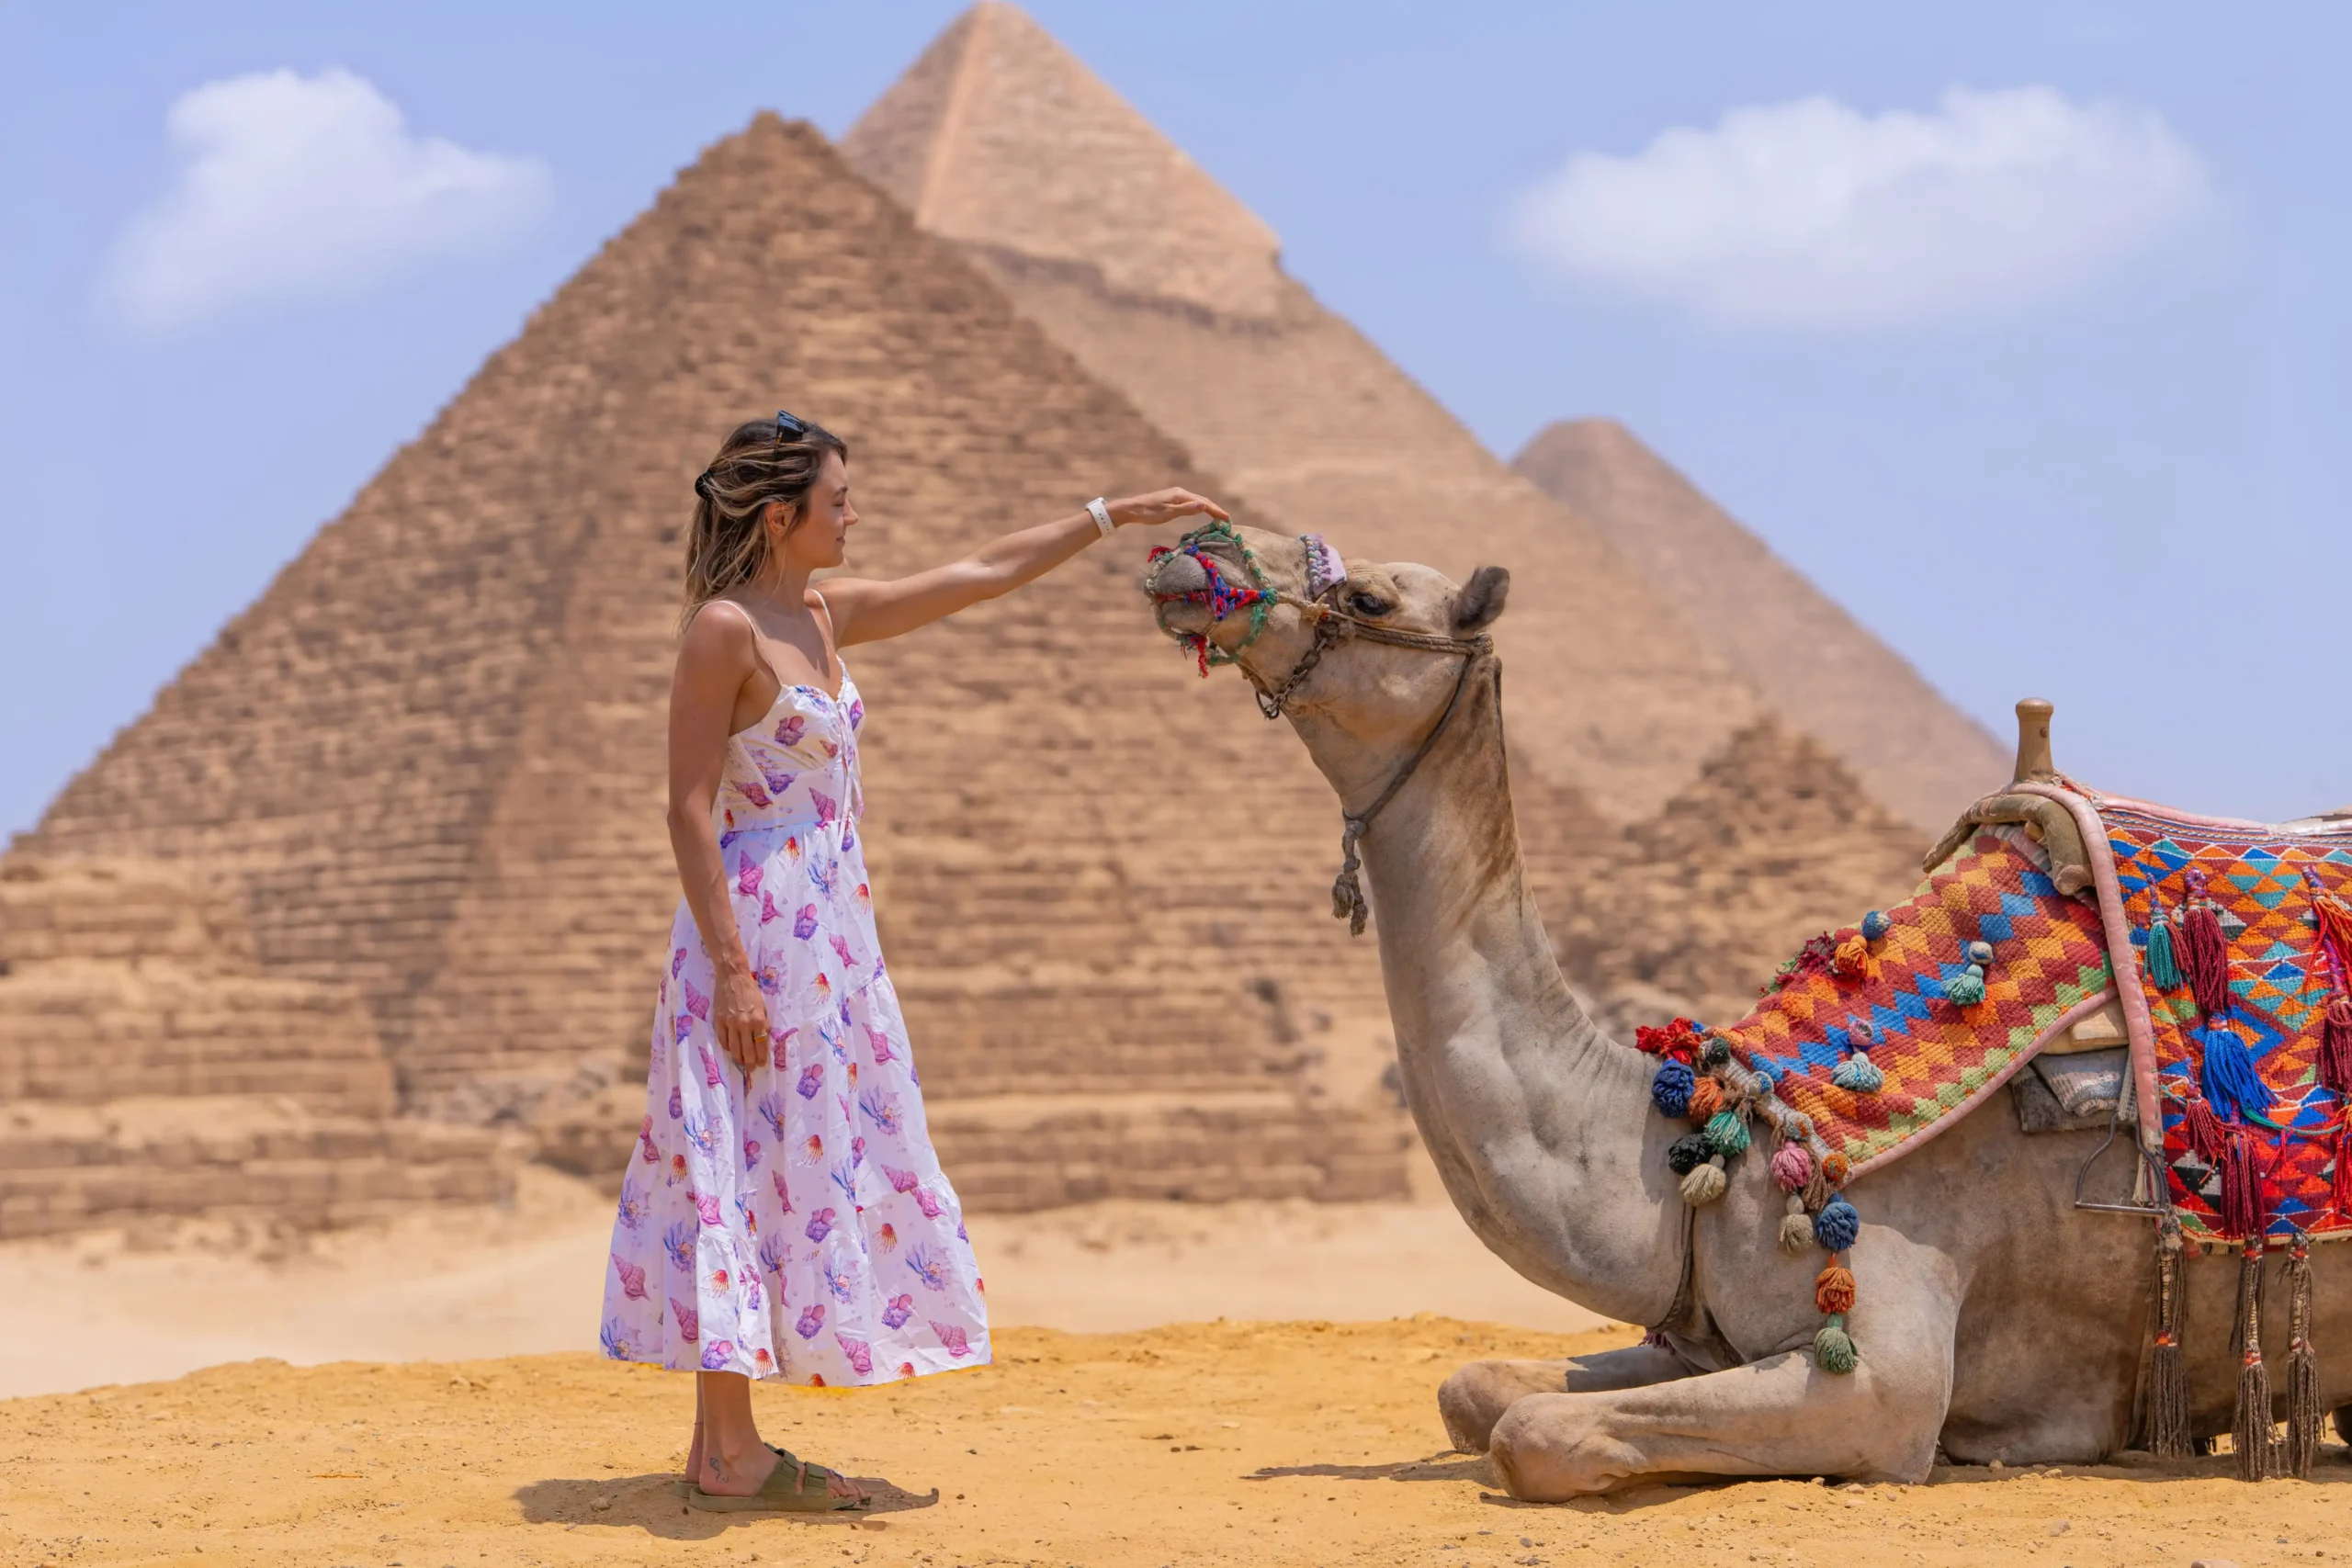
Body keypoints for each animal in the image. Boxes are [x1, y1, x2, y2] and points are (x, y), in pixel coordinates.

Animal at [1140, 525, 2352, 1497]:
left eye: (1366, 596)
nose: (1184, 558)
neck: (1696, 1129)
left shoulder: (1881, 1378)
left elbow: (1535, 1432)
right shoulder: (1698, 1335)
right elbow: (1476, 1387)